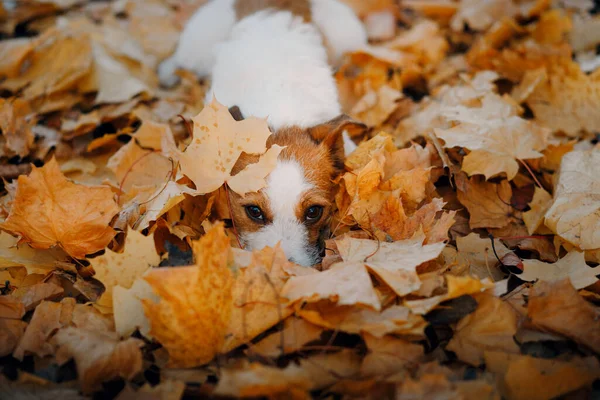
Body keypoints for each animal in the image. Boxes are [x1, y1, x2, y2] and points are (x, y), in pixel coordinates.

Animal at [157, 0, 368, 266]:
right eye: (254, 211)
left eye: (314, 212)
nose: (286, 270)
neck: (279, 112)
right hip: (199, 42)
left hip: (346, 33)